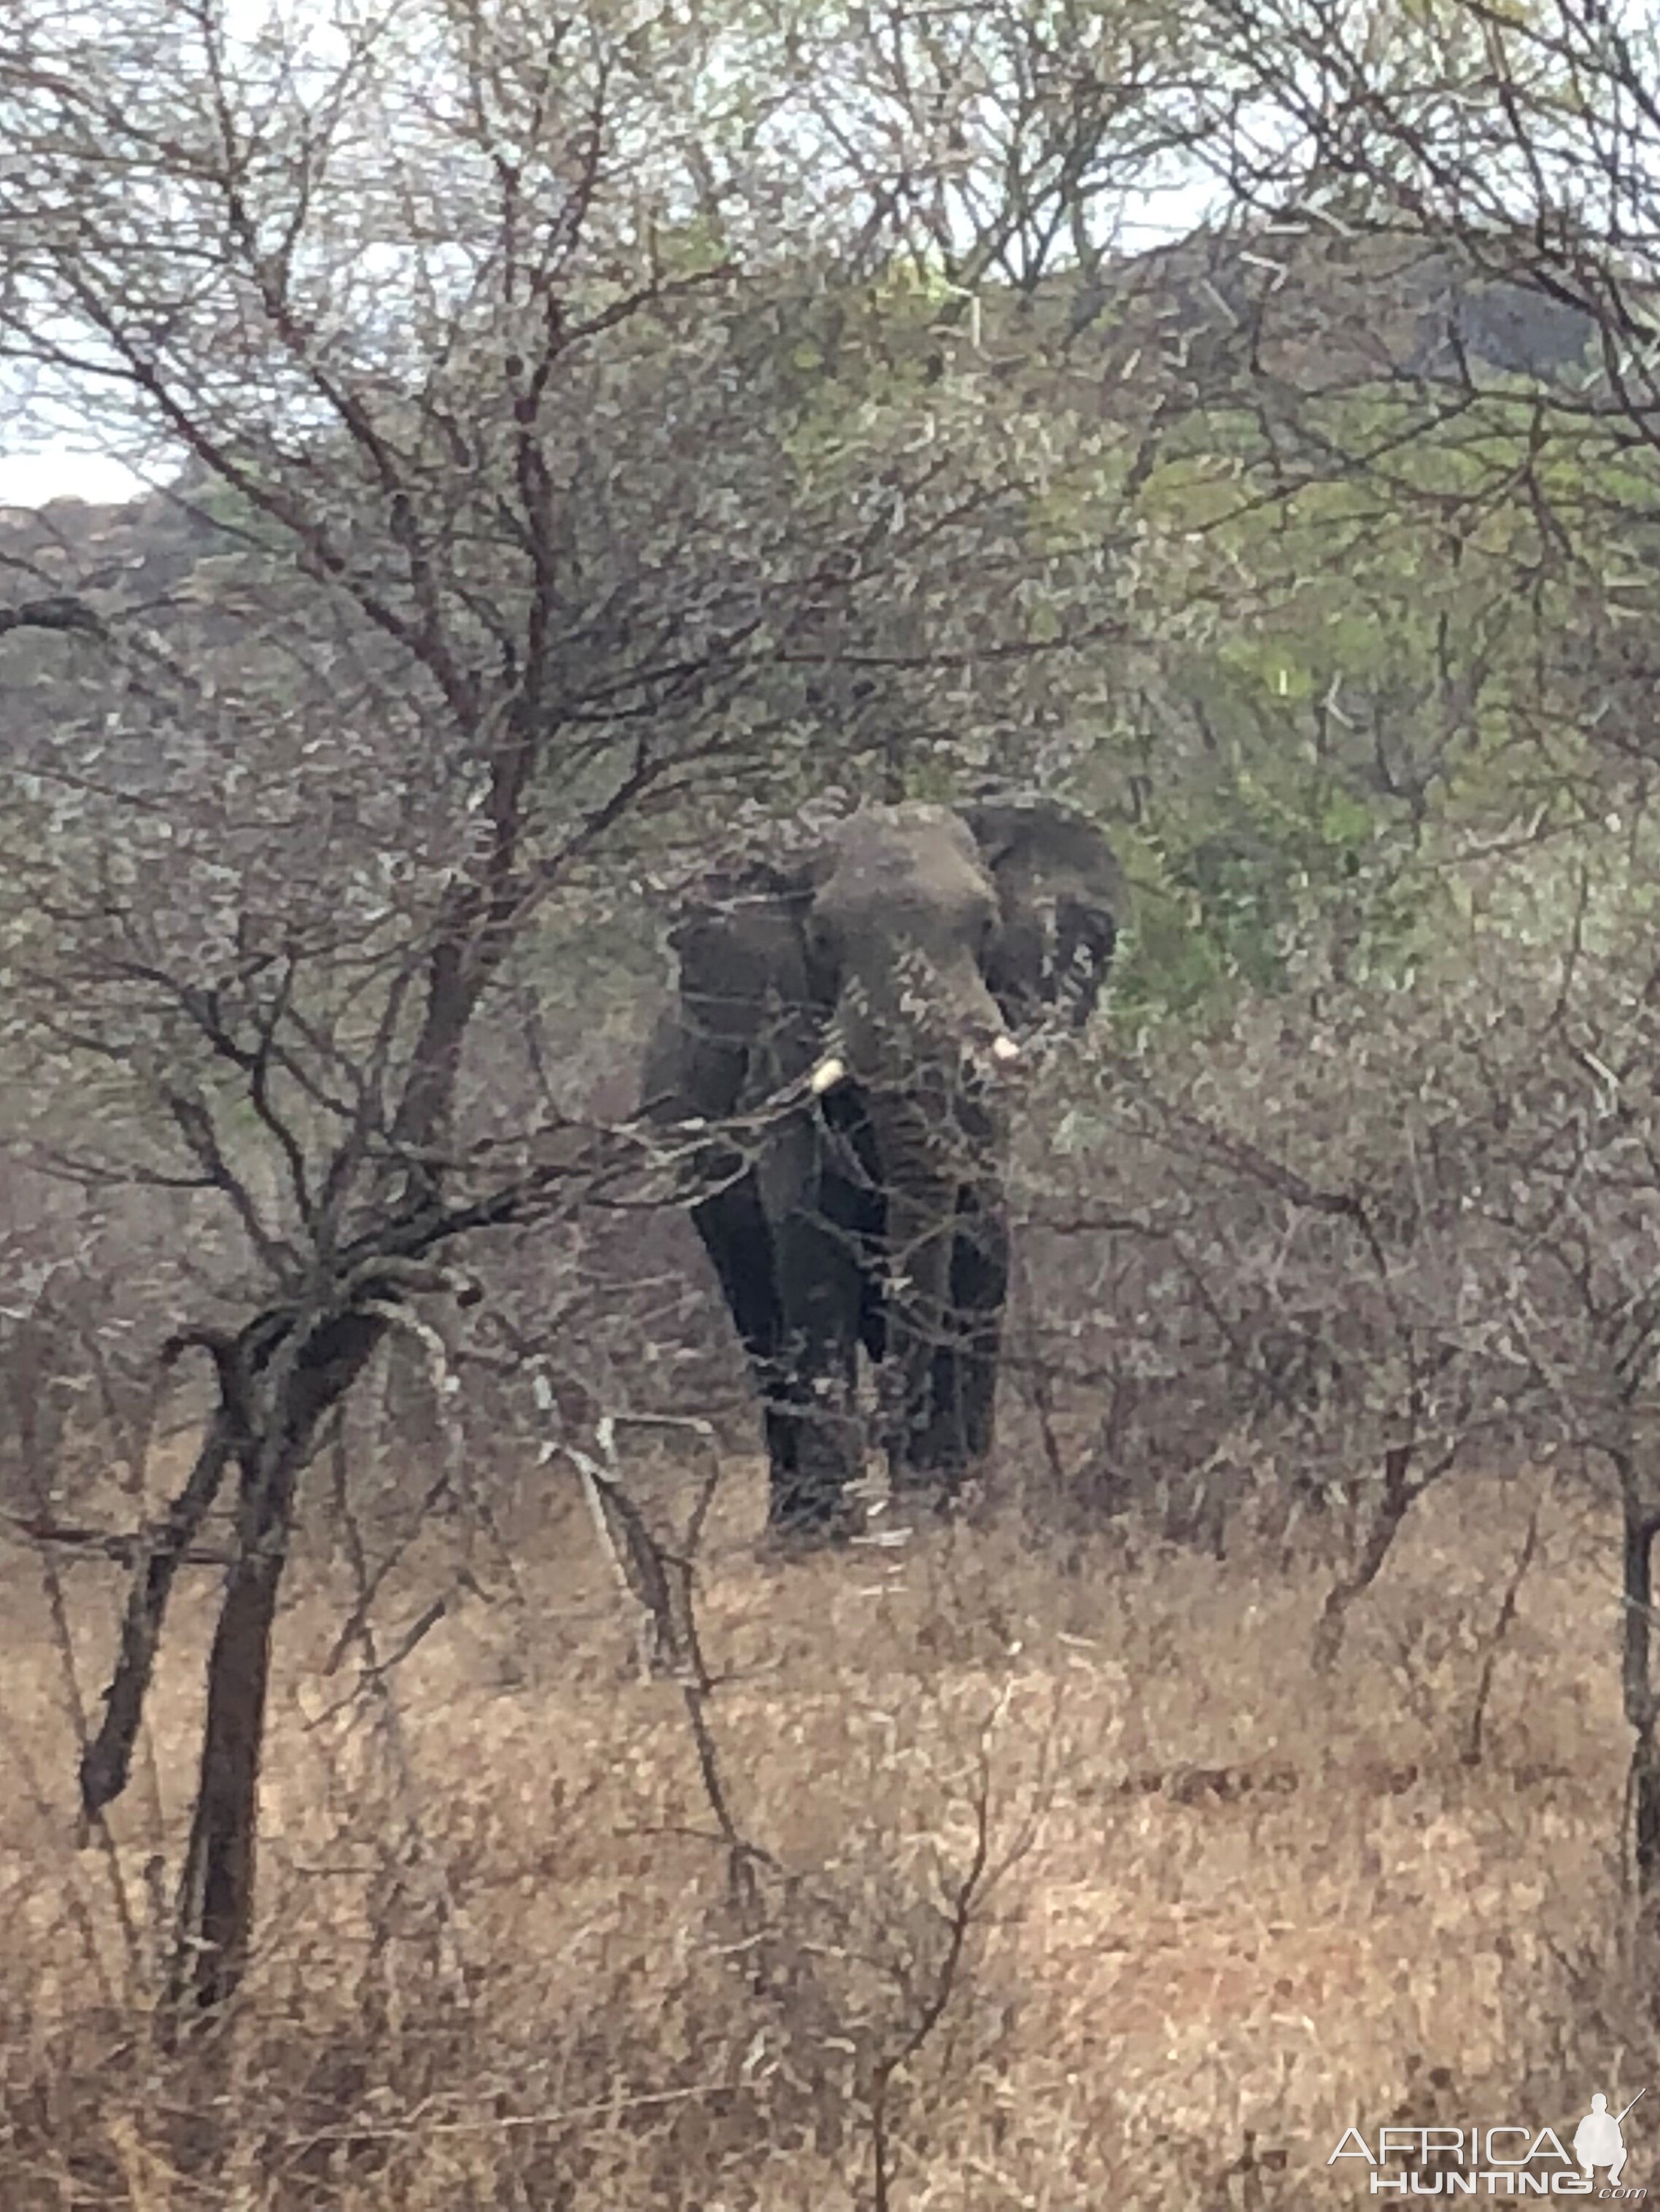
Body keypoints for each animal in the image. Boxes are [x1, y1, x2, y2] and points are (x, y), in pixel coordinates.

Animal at [642, 796, 1124, 1539]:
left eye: (987, 926)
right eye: (821, 941)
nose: (893, 1461)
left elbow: (979, 1241)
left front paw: (953, 1498)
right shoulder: (780, 1053)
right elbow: (810, 1240)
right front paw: (839, 1523)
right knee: (755, 1304)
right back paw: (794, 1523)